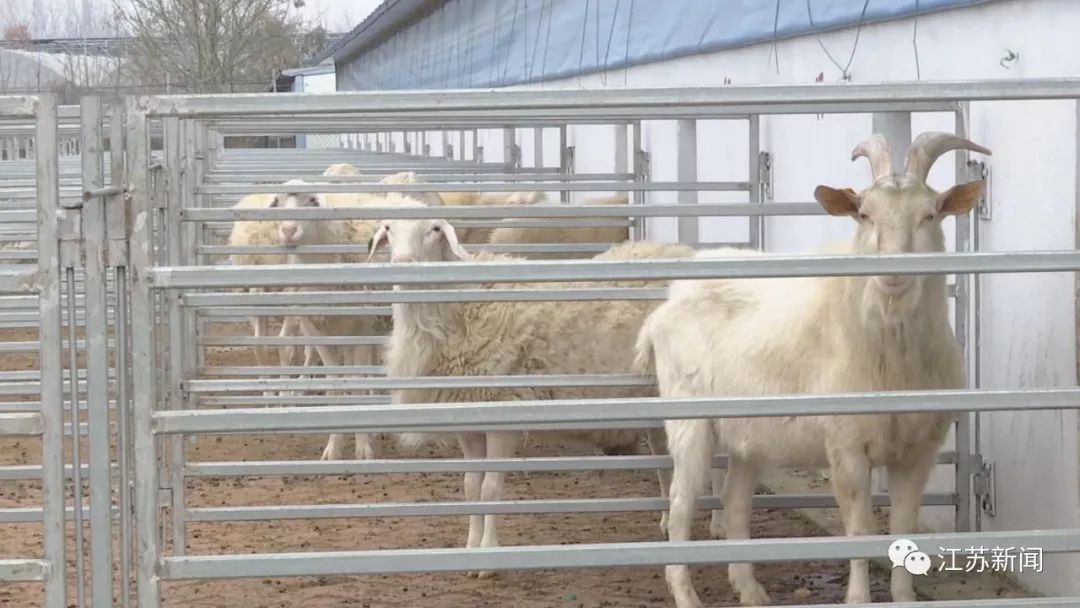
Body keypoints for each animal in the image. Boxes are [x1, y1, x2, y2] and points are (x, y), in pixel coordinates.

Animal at [367, 203, 695, 574]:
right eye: (389, 228)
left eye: (434, 229)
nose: (404, 261)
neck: (457, 312)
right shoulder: (468, 424)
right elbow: (470, 487)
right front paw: (470, 551)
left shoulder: (502, 418)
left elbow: (490, 490)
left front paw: (488, 557)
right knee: (665, 459)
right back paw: (667, 523)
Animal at [630, 130, 993, 604]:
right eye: (864, 214)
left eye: (929, 215)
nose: (892, 271)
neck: (891, 359)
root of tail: (665, 306)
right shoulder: (846, 446)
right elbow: (859, 530)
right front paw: (858, 598)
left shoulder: (918, 450)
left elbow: (902, 527)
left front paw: (903, 598)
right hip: (688, 420)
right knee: (680, 502)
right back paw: (687, 594)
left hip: (749, 437)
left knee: (734, 500)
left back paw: (750, 589)